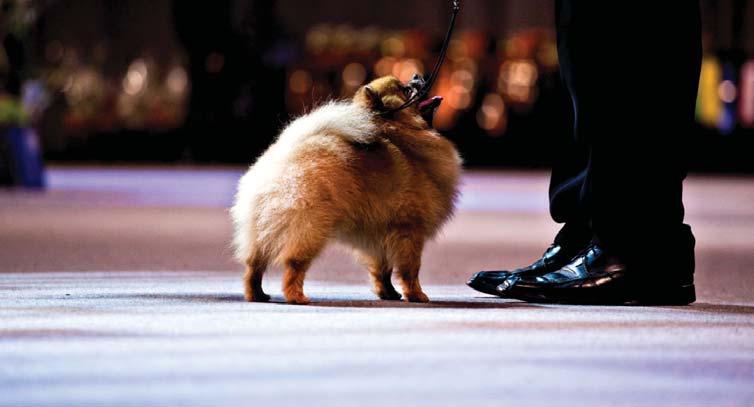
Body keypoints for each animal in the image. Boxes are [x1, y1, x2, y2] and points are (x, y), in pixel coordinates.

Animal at [232, 75, 462, 306]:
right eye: (406, 90)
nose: (417, 76)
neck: (399, 132)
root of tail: (286, 153)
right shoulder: (409, 230)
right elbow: (410, 269)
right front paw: (416, 295)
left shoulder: (380, 237)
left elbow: (383, 270)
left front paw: (389, 293)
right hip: (310, 228)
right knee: (293, 264)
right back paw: (297, 297)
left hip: (262, 229)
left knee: (254, 265)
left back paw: (257, 294)